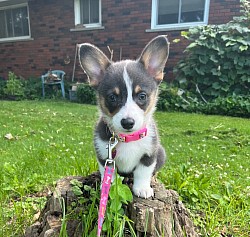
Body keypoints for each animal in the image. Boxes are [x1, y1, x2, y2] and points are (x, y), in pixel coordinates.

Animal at [79, 35, 169, 198]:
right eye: (112, 97)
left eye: (142, 96)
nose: (127, 122)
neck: (128, 138)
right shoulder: (104, 157)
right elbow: (109, 175)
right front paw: (108, 187)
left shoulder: (149, 154)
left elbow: (143, 172)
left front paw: (143, 189)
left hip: (161, 153)